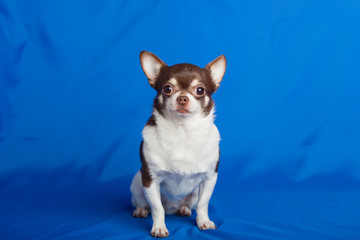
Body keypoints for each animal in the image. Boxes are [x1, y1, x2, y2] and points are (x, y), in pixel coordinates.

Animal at [129, 51, 225, 237]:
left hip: (193, 194)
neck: (182, 132)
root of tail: (171, 209)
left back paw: (184, 209)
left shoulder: (209, 178)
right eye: (167, 89)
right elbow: (157, 208)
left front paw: (204, 222)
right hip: (137, 182)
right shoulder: (150, 179)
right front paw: (159, 227)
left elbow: (203, 204)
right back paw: (141, 211)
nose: (182, 98)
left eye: (200, 90)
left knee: (190, 204)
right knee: (144, 203)